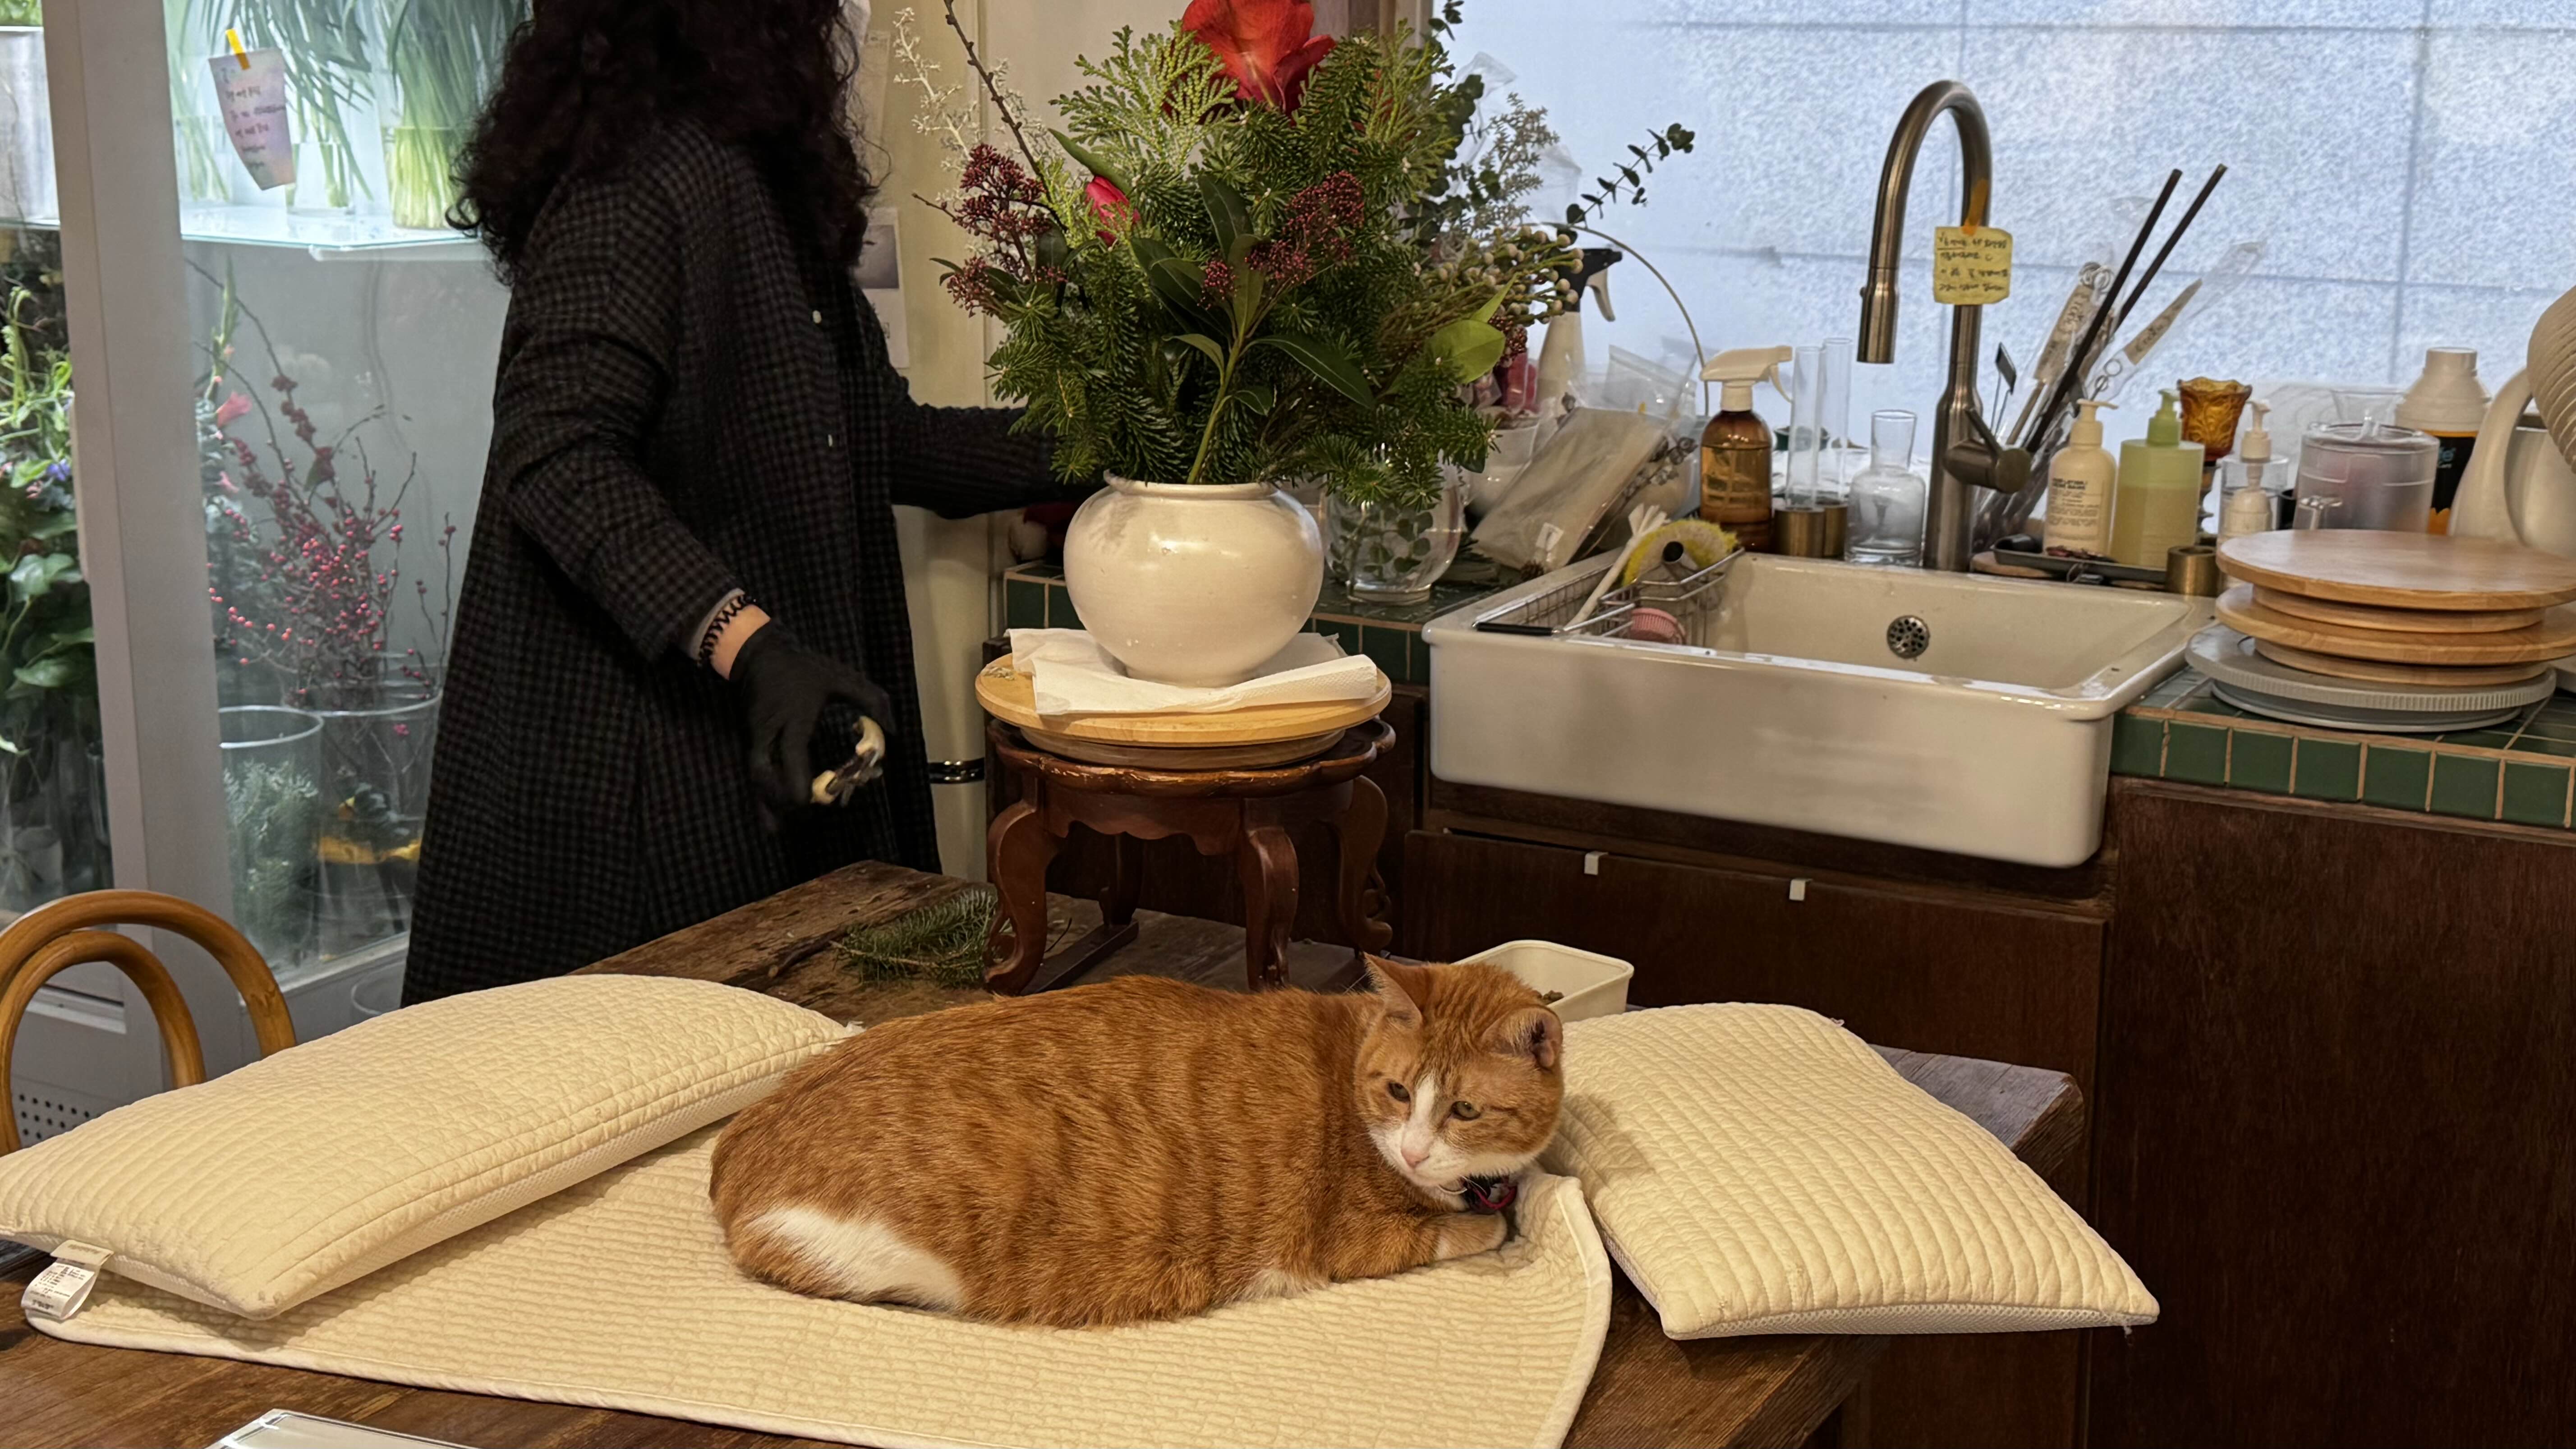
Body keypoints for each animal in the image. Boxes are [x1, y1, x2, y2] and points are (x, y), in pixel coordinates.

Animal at [707, 957, 1564, 1328]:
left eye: (1463, 1109)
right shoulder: (1352, 1241)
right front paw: (1487, 1216)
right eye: (1397, 1093)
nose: (1415, 1151)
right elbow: (1467, 1228)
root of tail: (738, 1146)